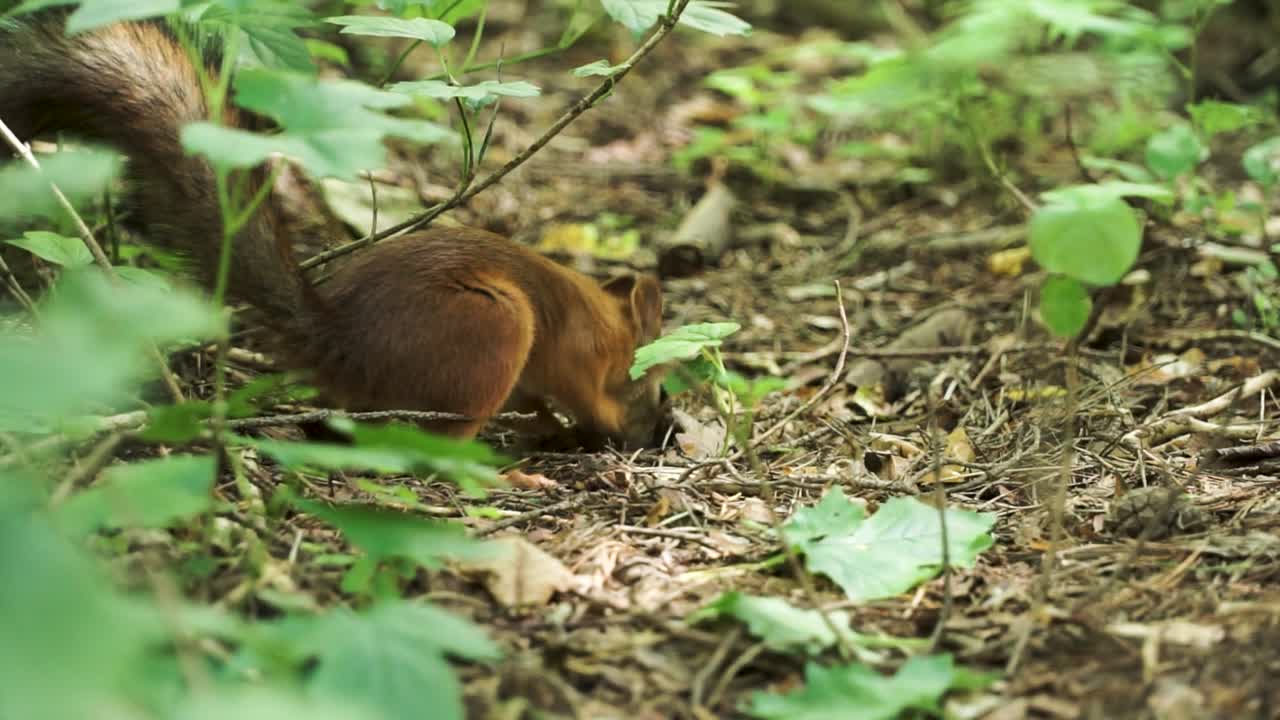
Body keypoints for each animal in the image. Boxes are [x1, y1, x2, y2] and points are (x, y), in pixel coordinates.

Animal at [0, 14, 669, 448]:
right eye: (659, 388)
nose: (659, 430)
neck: (608, 324)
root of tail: (342, 341)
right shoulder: (577, 354)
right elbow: (582, 391)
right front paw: (602, 423)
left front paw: (552, 427)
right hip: (493, 326)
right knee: (438, 447)